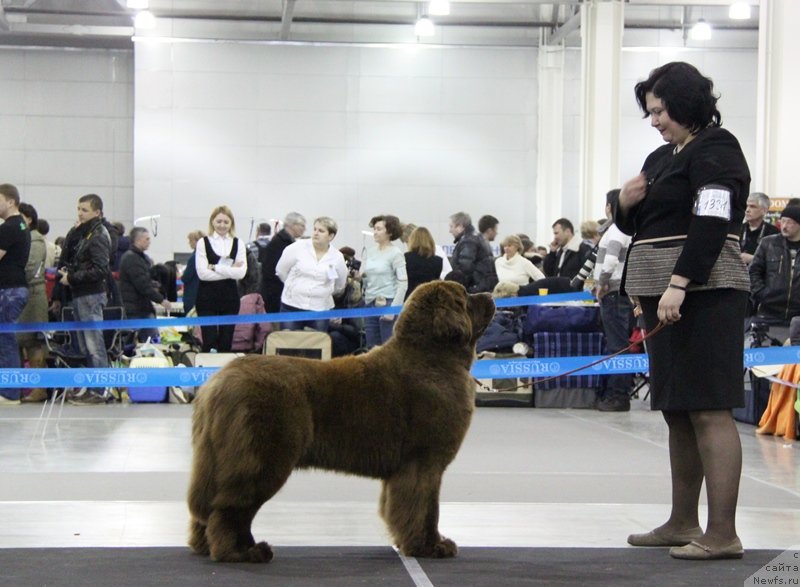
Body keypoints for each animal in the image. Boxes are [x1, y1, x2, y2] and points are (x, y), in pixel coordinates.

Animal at [190, 282, 496, 564]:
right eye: (465, 297)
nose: (490, 295)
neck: (430, 359)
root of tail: (218, 380)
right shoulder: (423, 462)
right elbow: (425, 509)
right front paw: (428, 547)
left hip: (217, 459)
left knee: (208, 506)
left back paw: (206, 546)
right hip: (262, 457)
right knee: (230, 509)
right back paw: (240, 552)